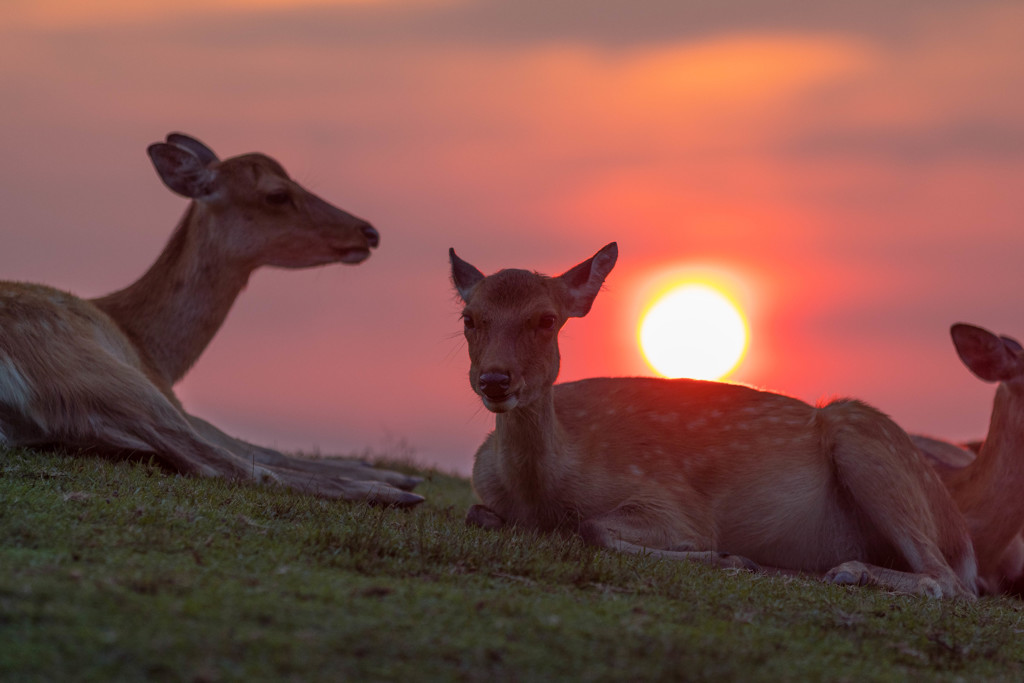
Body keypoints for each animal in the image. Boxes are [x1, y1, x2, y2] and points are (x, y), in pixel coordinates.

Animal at [0, 133, 423, 507]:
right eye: (277, 194)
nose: (369, 232)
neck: (154, 351)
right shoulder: (166, 393)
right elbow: (256, 449)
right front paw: (393, 474)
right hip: (104, 375)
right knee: (230, 466)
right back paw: (394, 493)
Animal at [448, 244, 974, 598]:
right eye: (469, 318)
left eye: (546, 319)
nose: (495, 379)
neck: (544, 494)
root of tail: (959, 531)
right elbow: (477, 513)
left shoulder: (672, 500)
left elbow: (594, 528)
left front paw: (725, 555)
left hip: (865, 443)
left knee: (950, 583)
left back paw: (848, 570)